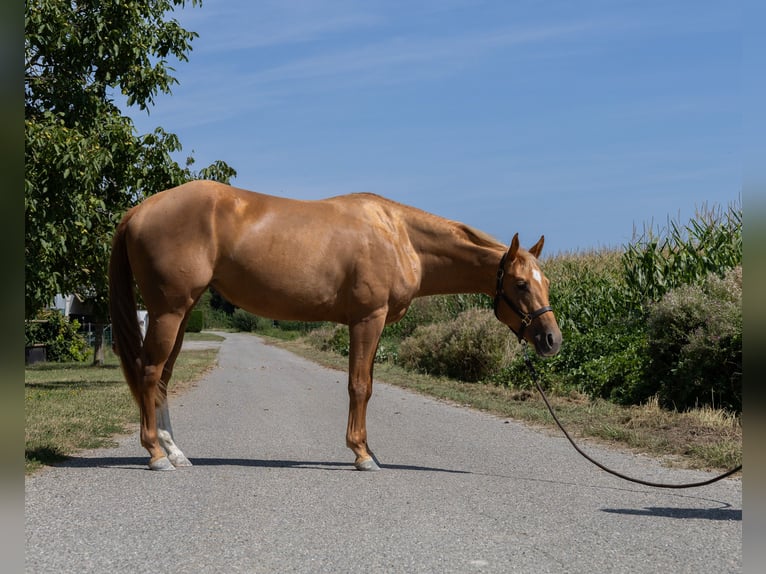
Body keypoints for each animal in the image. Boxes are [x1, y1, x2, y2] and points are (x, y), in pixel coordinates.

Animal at [109, 180, 564, 472]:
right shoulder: (367, 319)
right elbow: (359, 386)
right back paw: (156, 455)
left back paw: (175, 452)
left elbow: (367, 385)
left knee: (162, 378)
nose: (551, 340)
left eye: (546, 282)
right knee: (149, 373)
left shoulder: (373, 324)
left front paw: (368, 451)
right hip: (169, 311)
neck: (398, 235)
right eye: (521, 284)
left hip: (181, 312)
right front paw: (362, 455)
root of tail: (139, 210)